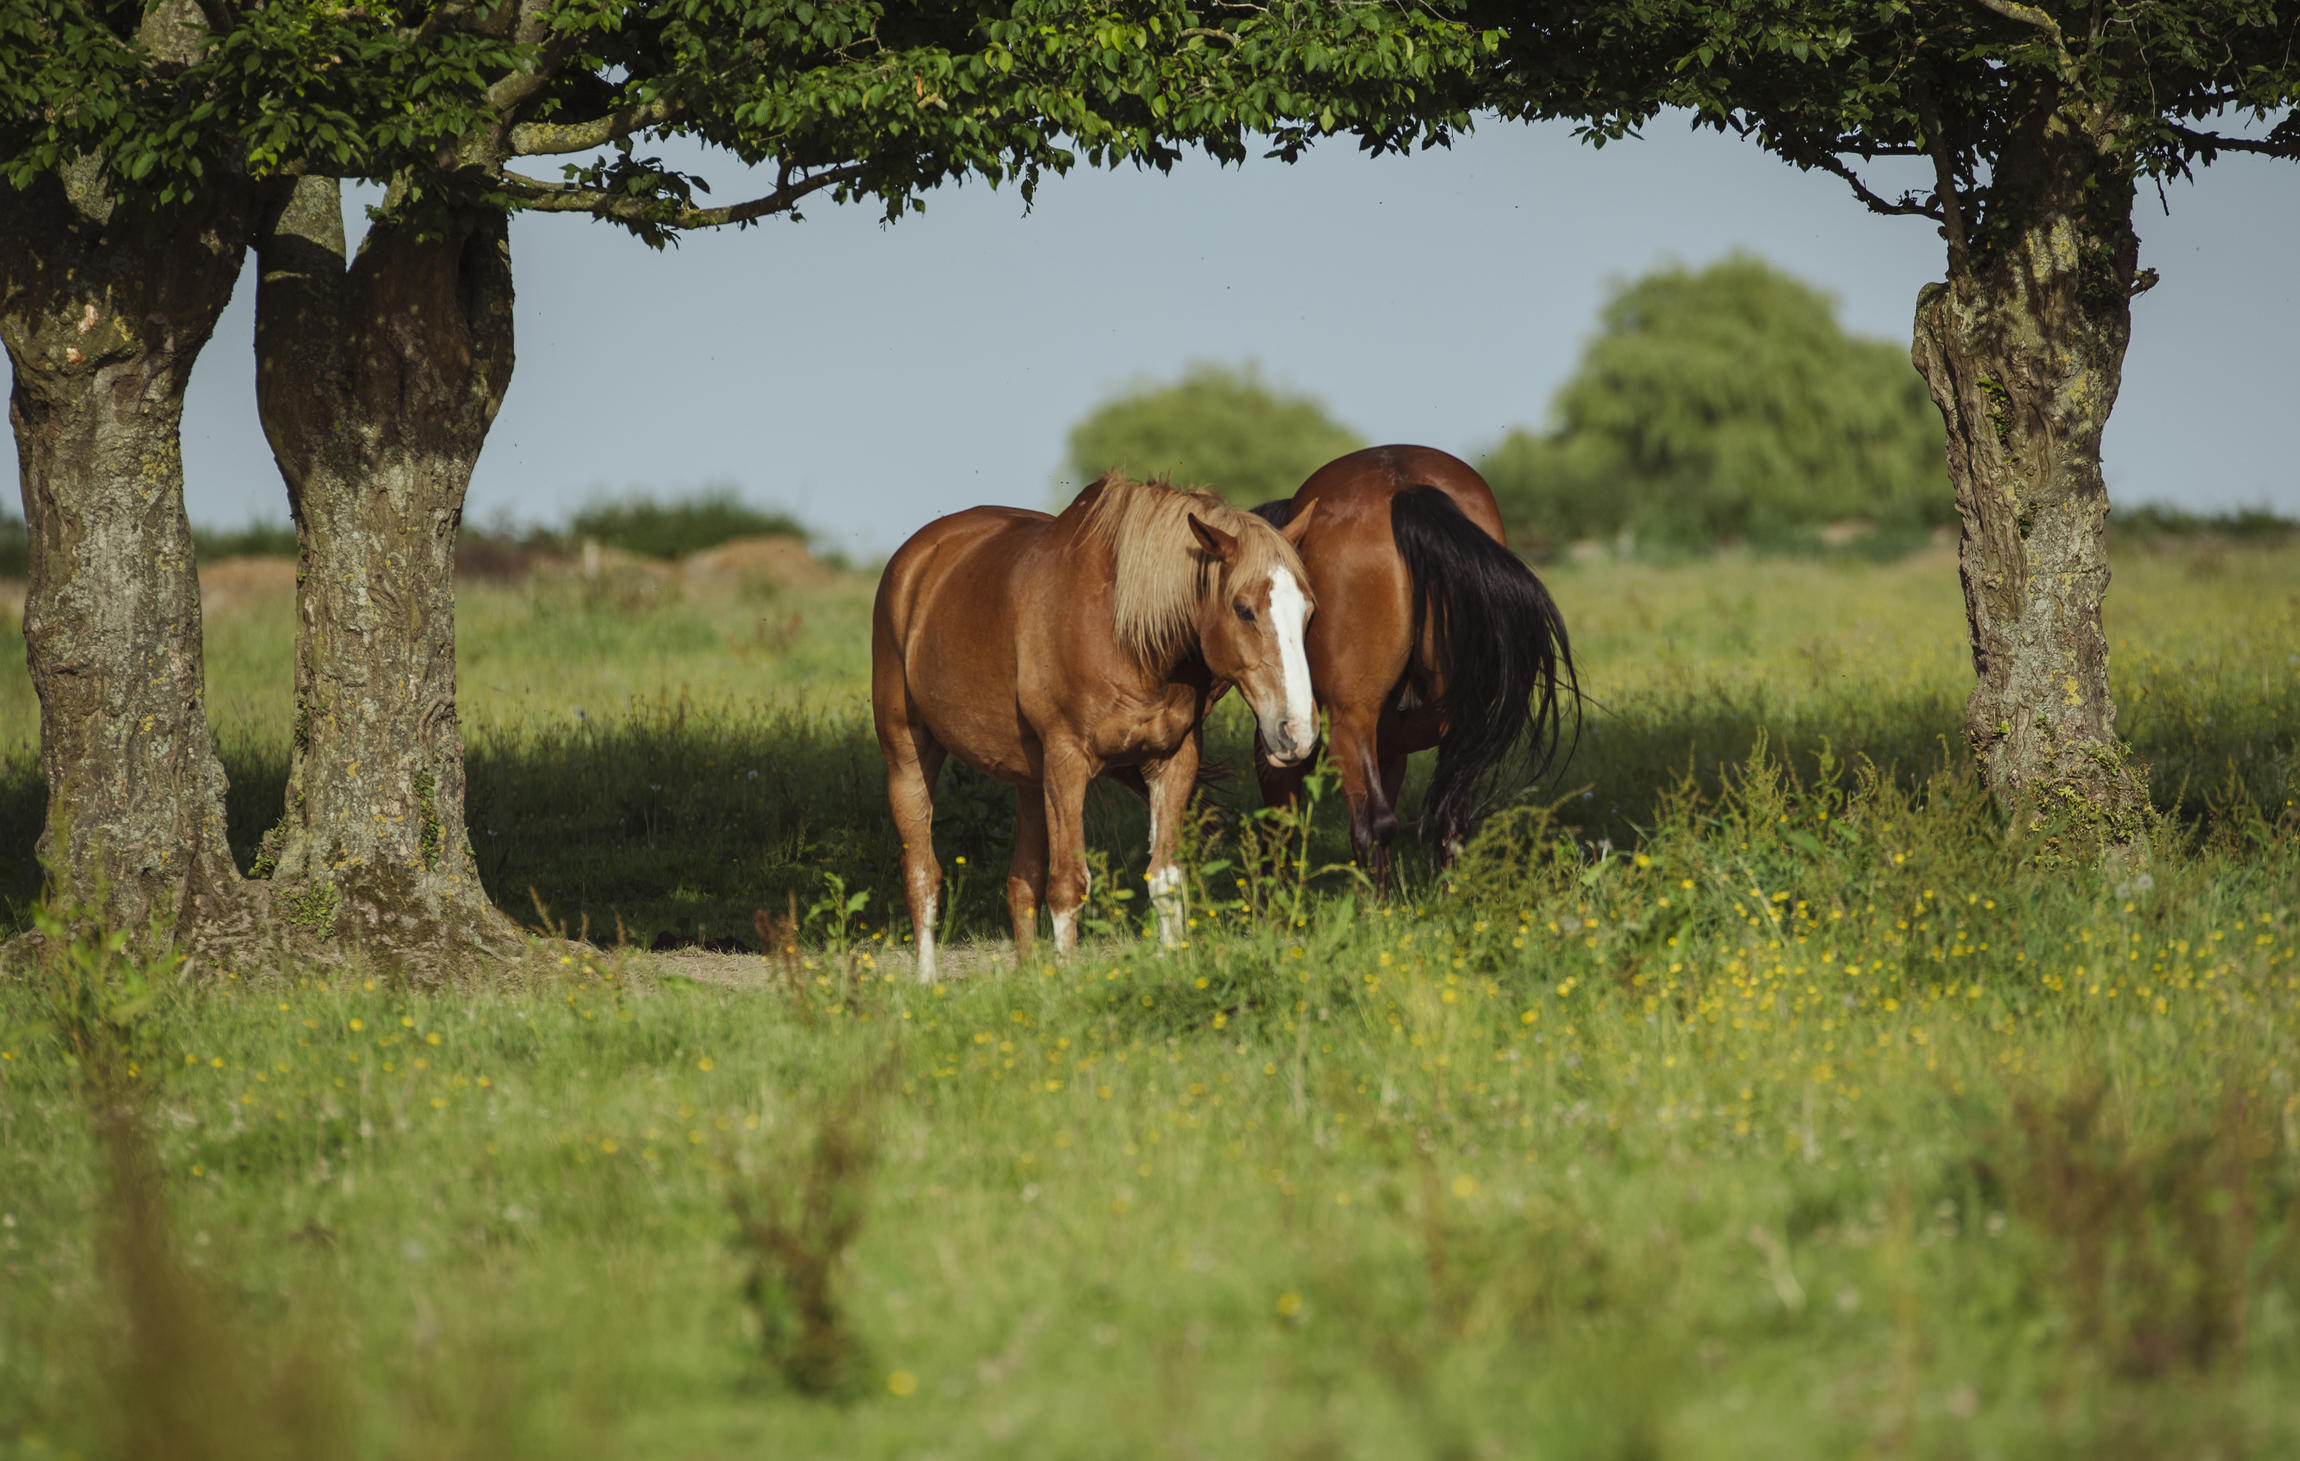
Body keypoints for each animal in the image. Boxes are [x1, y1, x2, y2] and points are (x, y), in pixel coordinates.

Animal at [874, 480, 1324, 984]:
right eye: (1244, 610)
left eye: (1308, 610)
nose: (1297, 732)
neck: (1124, 636)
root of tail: (914, 559)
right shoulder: (1067, 762)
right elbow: (1069, 884)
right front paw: (1067, 984)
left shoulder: (1174, 762)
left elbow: (1165, 878)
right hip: (908, 755)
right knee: (922, 873)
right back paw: (927, 980)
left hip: (1030, 776)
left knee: (1021, 881)